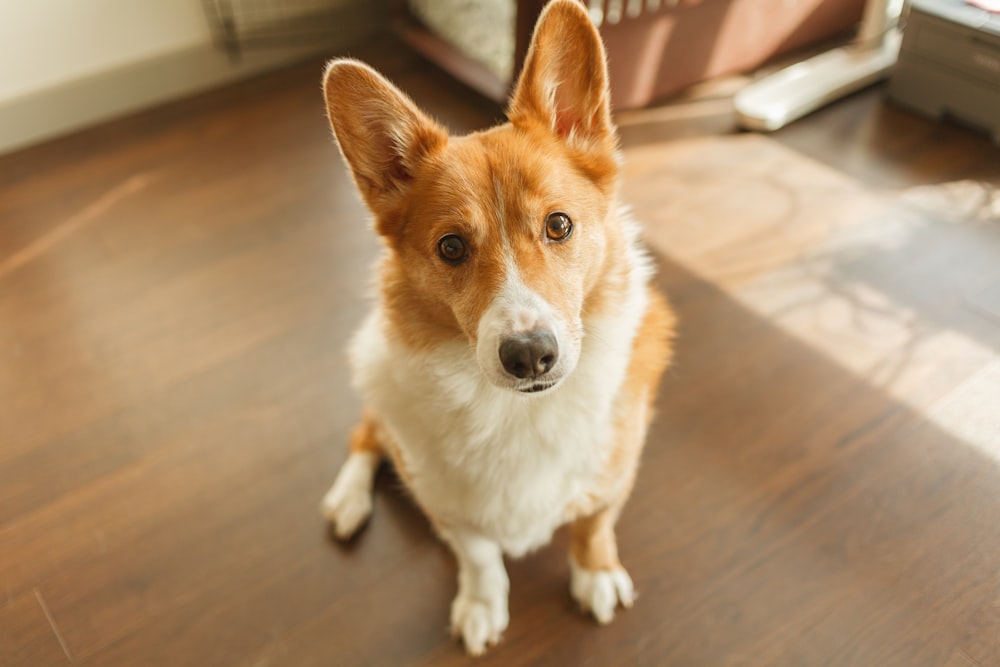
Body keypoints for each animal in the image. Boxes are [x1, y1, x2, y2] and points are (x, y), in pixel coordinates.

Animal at [324, 0, 676, 656]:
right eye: (452, 247)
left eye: (559, 225)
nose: (530, 355)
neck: (519, 412)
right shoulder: (450, 510)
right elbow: (482, 558)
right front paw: (482, 607)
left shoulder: (615, 474)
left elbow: (594, 525)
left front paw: (596, 575)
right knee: (366, 431)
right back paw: (347, 499)